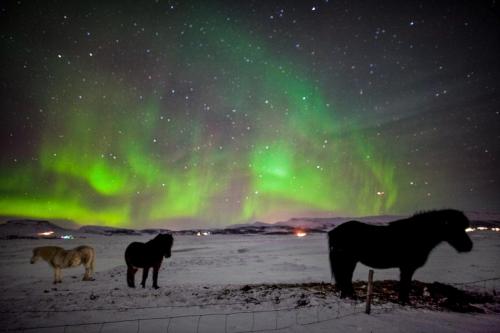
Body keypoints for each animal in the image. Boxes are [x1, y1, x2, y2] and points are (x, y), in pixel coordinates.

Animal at [328, 209, 472, 302]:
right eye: (455, 227)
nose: (469, 246)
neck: (418, 234)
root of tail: (334, 231)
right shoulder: (407, 268)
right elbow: (405, 284)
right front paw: (404, 301)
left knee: (345, 278)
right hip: (348, 260)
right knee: (345, 277)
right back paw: (350, 296)